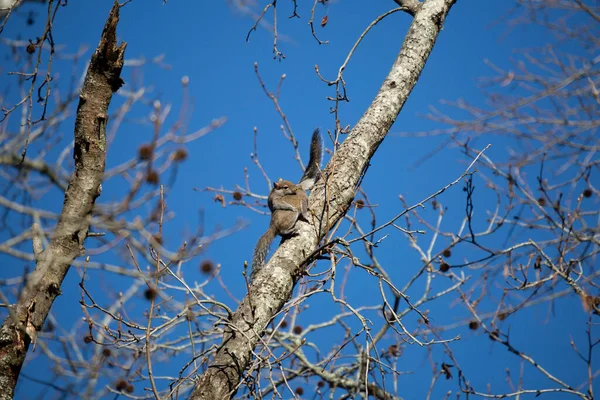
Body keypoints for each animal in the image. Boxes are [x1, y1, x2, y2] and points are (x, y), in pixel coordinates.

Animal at [250, 128, 324, 278]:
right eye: (285, 186)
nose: (295, 188)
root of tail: (272, 227)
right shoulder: (302, 200)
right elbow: (303, 208)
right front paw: (306, 216)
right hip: (290, 217)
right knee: (283, 230)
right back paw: (291, 230)